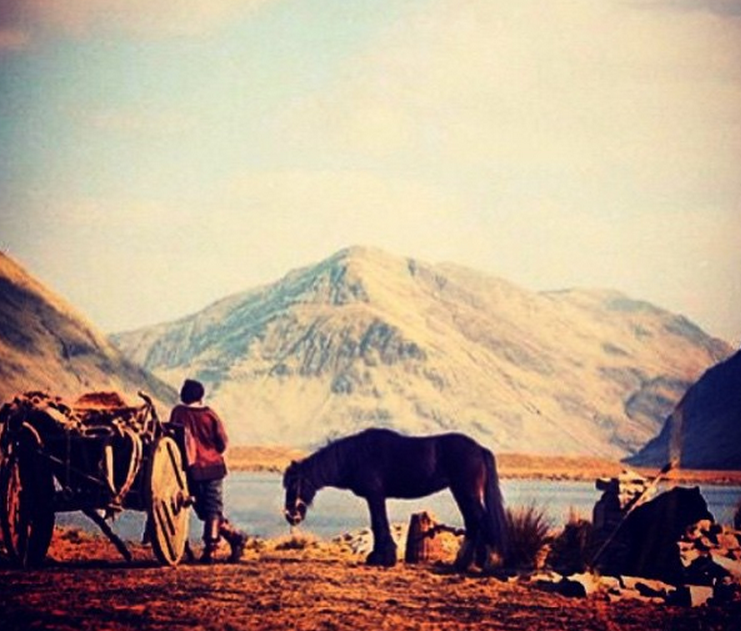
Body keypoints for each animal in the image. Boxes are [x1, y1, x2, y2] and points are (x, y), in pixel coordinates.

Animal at [283, 428, 509, 569]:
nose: (290, 515)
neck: (354, 456)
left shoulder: (375, 496)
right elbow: (378, 524)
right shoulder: (376, 497)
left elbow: (378, 524)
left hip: (465, 492)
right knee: (473, 523)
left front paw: (380, 558)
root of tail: (479, 449)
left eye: (293, 484)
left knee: (479, 522)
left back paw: (475, 563)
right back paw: (466, 563)